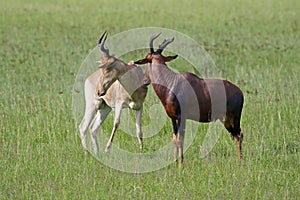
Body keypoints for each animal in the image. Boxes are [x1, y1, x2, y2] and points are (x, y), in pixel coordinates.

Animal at [134, 34, 244, 166]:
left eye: (147, 59)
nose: (145, 80)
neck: (172, 83)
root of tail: (240, 92)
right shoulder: (173, 118)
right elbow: (175, 138)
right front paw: (175, 162)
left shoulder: (182, 117)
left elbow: (181, 139)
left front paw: (181, 165)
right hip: (226, 120)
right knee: (237, 135)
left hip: (234, 118)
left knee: (239, 135)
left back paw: (240, 163)